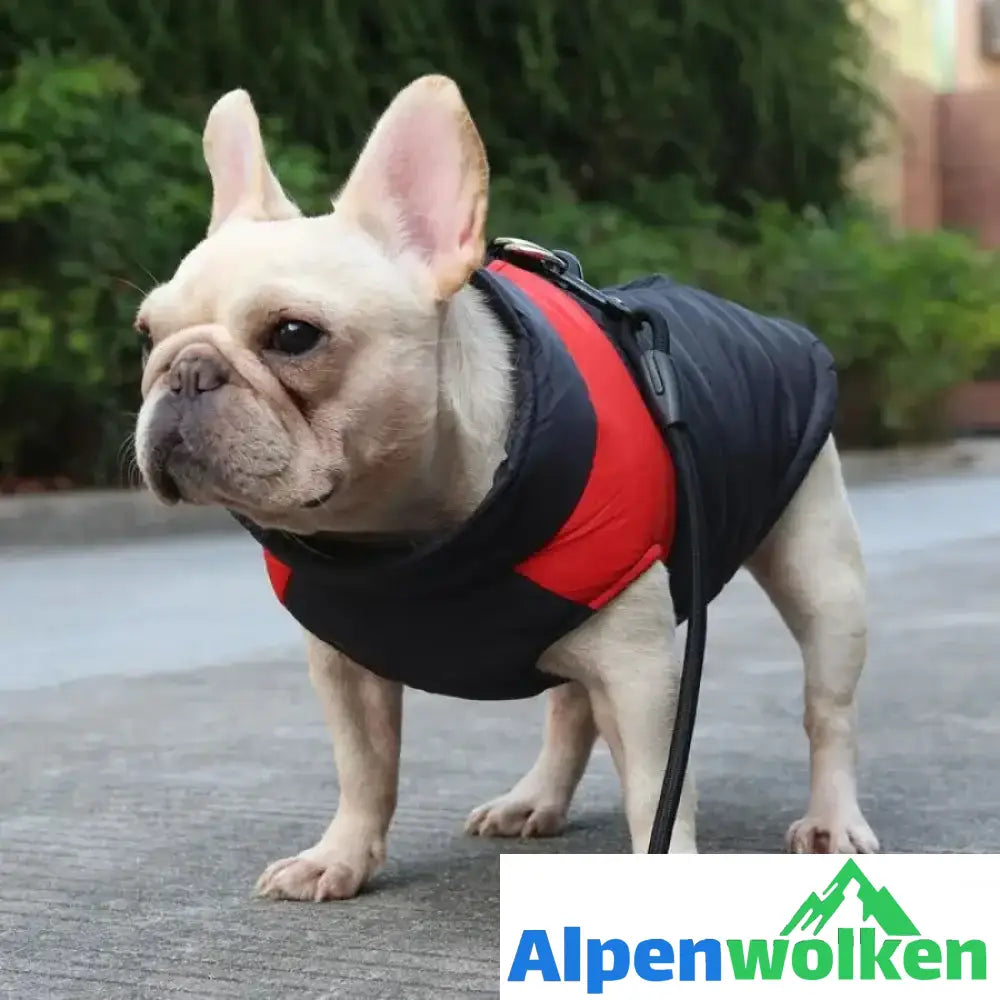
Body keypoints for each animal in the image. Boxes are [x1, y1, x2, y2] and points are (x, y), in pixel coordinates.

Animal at [137, 74, 880, 904]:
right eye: (145, 335)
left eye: (294, 335)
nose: (186, 370)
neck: (401, 541)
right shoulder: (343, 665)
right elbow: (364, 769)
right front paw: (341, 856)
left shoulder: (643, 671)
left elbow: (657, 787)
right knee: (570, 710)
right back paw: (535, 799)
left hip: (820, 579)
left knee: (828, 710)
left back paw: (833, 821)